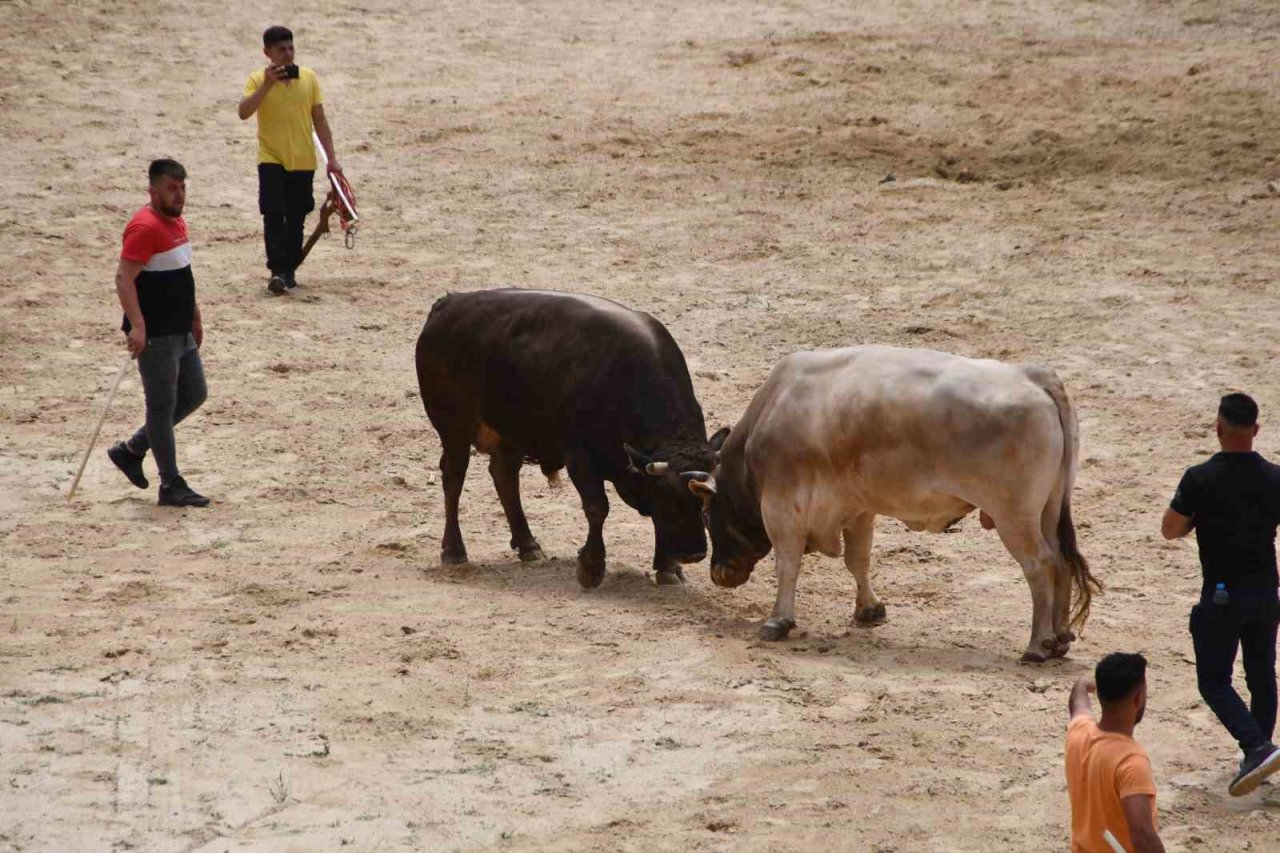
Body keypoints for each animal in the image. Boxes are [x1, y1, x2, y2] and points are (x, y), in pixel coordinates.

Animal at [691, 343, 1100, 655]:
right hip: (1048, 511)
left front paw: (778, 620)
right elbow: (858, 560)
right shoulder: (857, 508)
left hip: (1014, 517)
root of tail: (1033, 376)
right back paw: (1060, 637)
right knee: (1062, 561)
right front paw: (869, 609)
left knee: (1039, 564)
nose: (719, 574)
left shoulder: (782, 507)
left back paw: (1038, 645)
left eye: (708, 516)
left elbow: (787, 564)